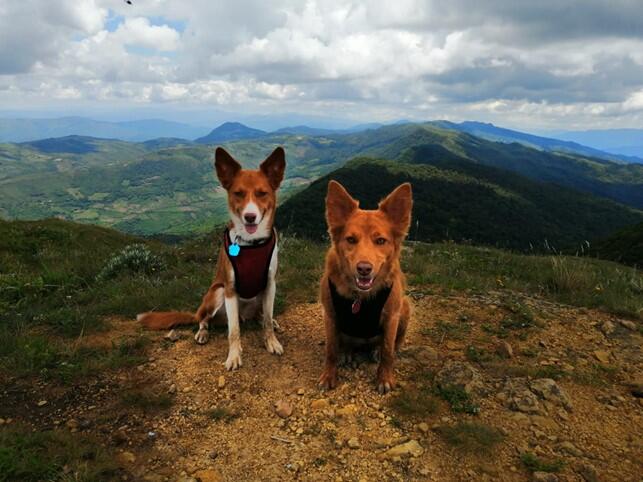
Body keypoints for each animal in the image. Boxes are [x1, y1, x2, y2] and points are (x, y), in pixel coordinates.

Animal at [140, 146, 288, 370]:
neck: (251, 243)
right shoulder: (229, 288)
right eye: (238, 193)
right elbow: (233, 331)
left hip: (257, 296)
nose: (250, 217)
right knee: (204, 320)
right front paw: (234, 356)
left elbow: (268, 320)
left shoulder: (270, 284)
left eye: (262, 193)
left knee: (261, 316)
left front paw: (271, 341)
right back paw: (202, 333)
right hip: (216, 293)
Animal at [320, 179, 416, 394]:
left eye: (380, 240)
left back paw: (376, 350)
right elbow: (330, 350)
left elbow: (388, 350)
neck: (360, 298)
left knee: (391, 344)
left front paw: (384, 378)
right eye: (350, 239)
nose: (364, 269)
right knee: (345, 344)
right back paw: (347, 352)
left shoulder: (392, 316)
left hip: (405, 307)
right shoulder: (330, 315)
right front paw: (329, 375)